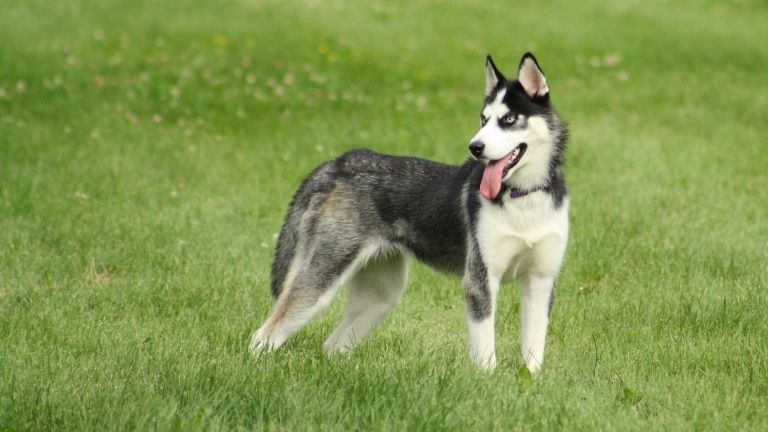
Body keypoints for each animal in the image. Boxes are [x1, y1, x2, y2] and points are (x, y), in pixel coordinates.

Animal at [249, 53, 568, 372]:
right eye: (483, 119)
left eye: (509, 119)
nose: (474, 147)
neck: (523, 196)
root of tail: (339, 163)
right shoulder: (480, 282)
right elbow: (485, 352)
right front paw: (487, 378)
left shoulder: (540, 283)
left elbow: (533, 351)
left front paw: (529, 379)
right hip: (322, 281)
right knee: (265, 334)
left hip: (381, 297)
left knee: (332, 345)